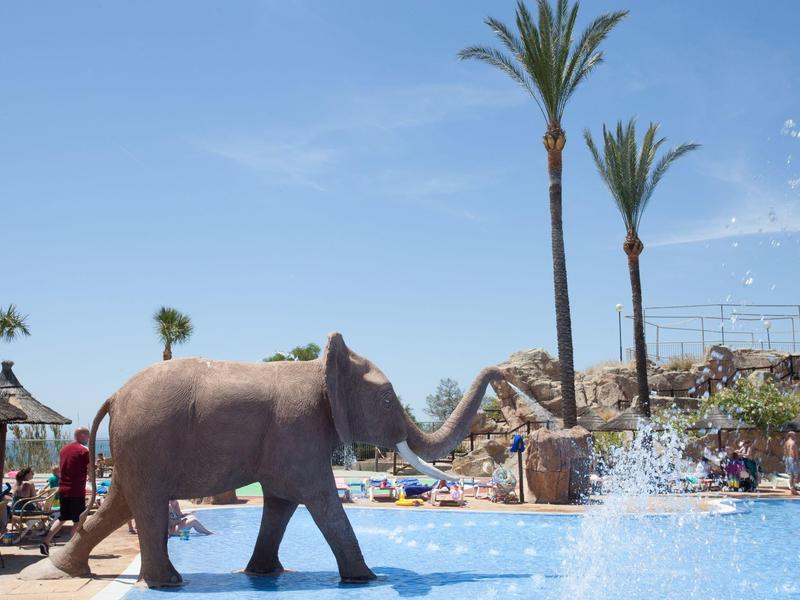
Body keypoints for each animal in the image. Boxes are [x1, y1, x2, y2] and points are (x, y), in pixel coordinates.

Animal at [21, 332, 501, 587]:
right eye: (386, 401)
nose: (502, 372)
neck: (321, 367)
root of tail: (115, 396)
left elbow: (282, 502)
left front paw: (265, 574)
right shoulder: (298, 430)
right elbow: (319, 497)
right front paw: (368, 580)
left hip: (134, 448)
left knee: (119, 504)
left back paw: (62, 571)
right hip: (147, 441)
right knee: (147, 505)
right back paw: (169, 583)